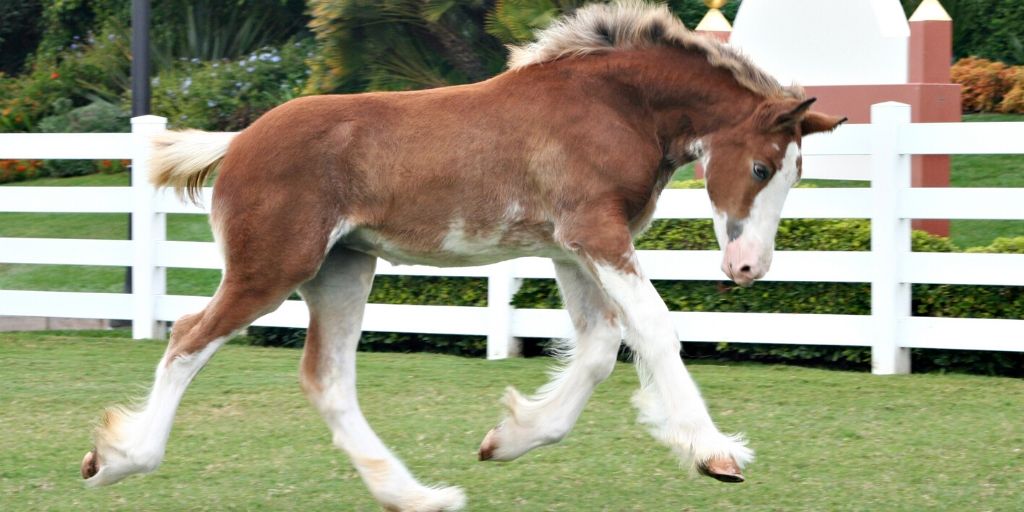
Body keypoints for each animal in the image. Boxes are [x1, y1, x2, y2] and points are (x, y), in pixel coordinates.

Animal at [79, 3, 843, 507]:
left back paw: (417, 495)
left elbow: (599, 345)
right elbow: (652, 329)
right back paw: (118, 459)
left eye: (795, 174)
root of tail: (236, 142)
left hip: (343, 269)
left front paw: (511, 437)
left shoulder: (572, 247)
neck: (614, 103)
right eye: (763, 168)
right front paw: (715, 453)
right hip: (271, 269)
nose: (749, 269)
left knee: (326, 378)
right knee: (188, 337)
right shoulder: (596, 234)